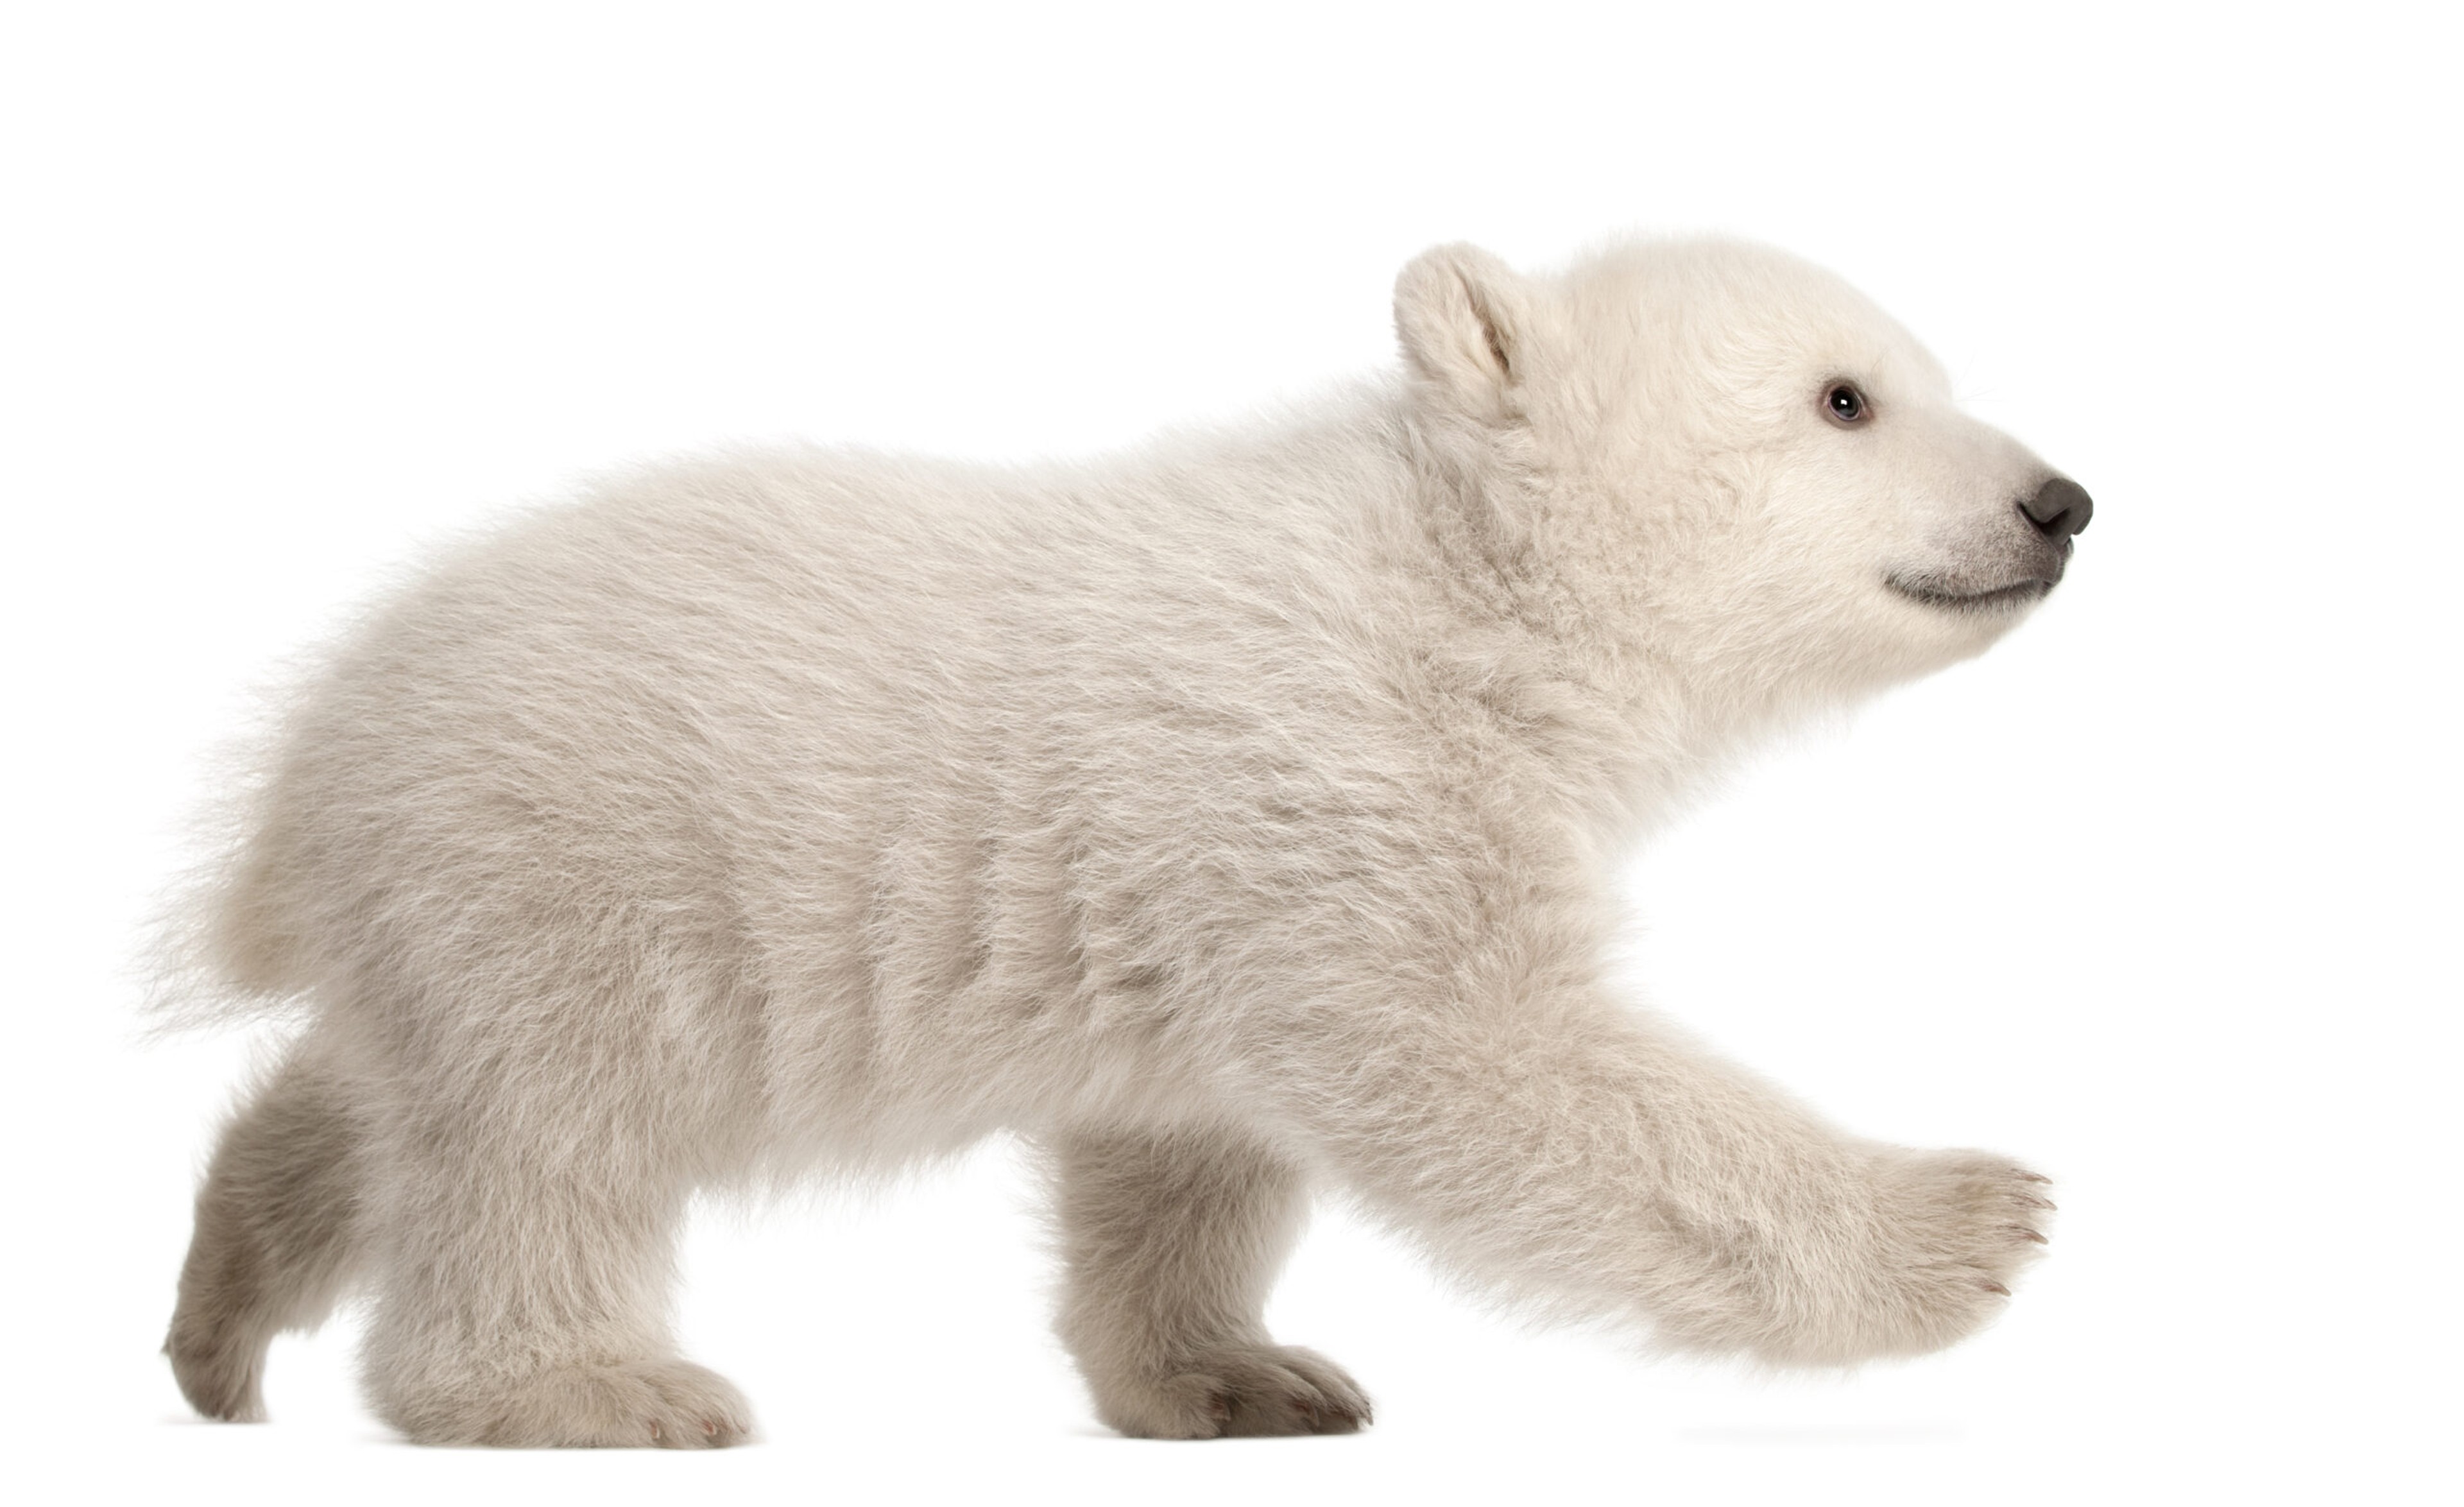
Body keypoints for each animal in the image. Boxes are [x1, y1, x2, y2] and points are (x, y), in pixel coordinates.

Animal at [160, 235, 2083, 1446]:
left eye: (1915, 372)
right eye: (1845, 398)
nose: (2057, 499)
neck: (1450, 586)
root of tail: (305, 762)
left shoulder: (1226, 865)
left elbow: (1187, 1149)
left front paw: (1243, 1376)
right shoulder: (1331, 776)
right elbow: (1487, 1063)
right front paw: (1969, 1222)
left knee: (382, 1099)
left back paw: (222, 1310)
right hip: (561, 860)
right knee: (539, 1143)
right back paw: (587, 1392)